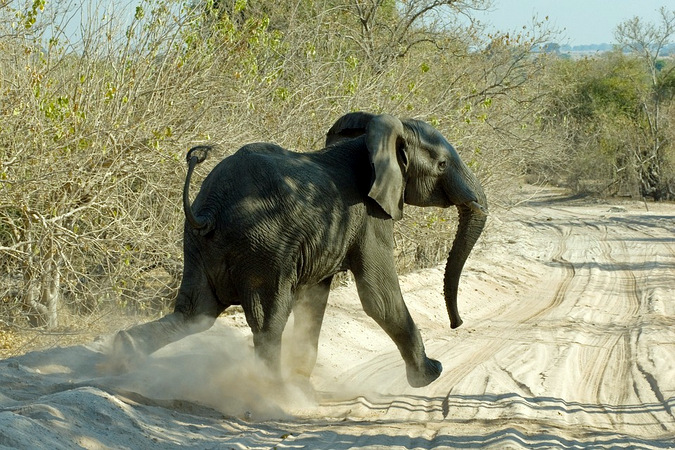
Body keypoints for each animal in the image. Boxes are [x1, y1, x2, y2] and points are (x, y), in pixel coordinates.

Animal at [109, 111, 486, 386]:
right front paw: (431, 374)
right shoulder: (371, 215)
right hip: (264, 247)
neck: (374, 137)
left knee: (194, 312)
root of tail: (209, 209)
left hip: (200, 245)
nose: (457, 324)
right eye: (441, 165)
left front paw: (305, 380)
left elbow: (316, 297)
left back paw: (122, 353)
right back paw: (274, 392)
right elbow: (378, 296)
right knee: (268, 321)